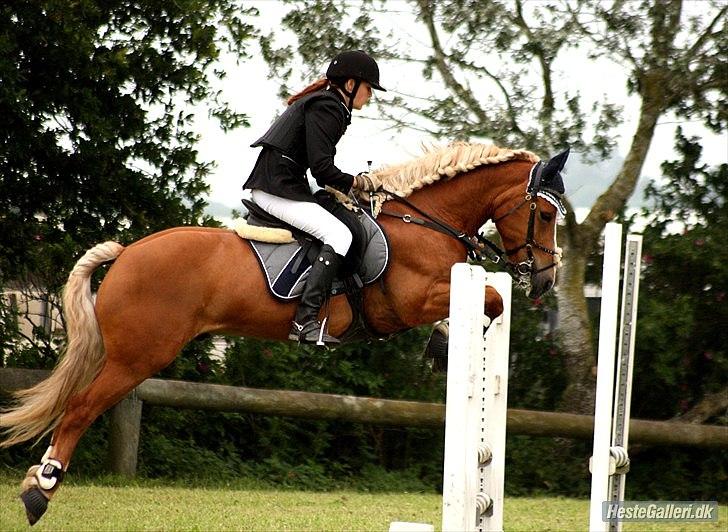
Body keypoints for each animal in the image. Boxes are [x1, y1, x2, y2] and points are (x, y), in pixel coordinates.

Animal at [0, 141, 568, 524]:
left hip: (123, 355)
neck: (426, 222)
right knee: (79, 409)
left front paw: (445, 343)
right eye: (543, 213)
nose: (545, 279)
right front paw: (445, 344)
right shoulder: (406, 302)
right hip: (135, 358)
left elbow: (485, 301)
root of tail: (126, 253)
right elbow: (491, 299)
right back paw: (39, 490)